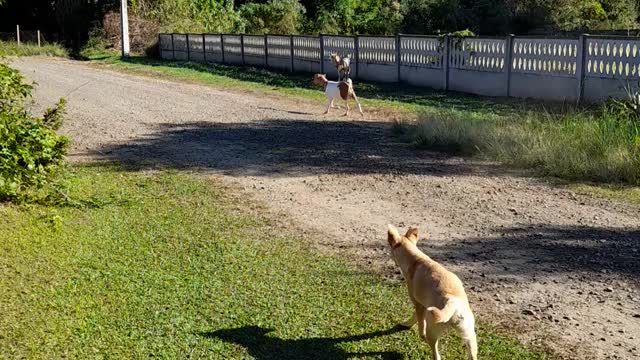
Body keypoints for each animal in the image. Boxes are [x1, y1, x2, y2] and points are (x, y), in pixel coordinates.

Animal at [384, 225, 476, 360]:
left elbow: (419, 323)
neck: (416, 258)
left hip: (432, 330)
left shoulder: (418, 304)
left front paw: (412, 327)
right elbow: (415, 317)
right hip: (469, 335)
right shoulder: (421, 305)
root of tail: (453, 303)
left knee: (435, 352)